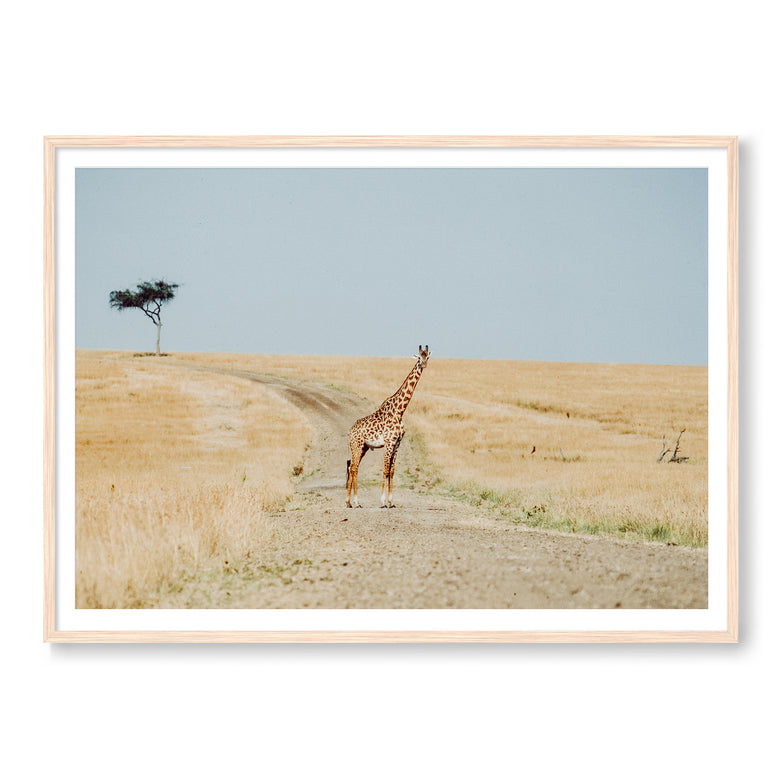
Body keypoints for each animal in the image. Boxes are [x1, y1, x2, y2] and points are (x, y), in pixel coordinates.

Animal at [346, 345, 431, 508]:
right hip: (356, 445)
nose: (423, 364)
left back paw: (349, 502)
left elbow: (391, 471)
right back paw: (356, 502)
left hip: (364, 447)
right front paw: (383, 502)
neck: (399, 411)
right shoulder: (389, 442)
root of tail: (350, 430)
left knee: (352, 467)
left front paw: (391, 502)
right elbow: (385, 470)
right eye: (419, 357)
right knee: (354, 468)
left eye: (427, 357)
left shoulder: (397, 443)